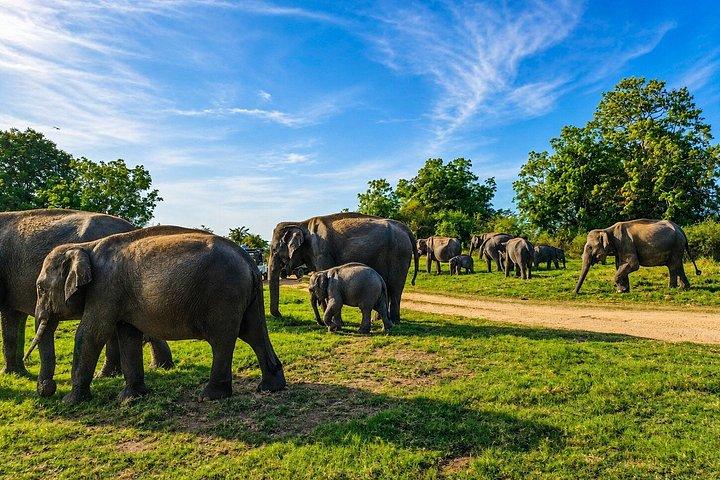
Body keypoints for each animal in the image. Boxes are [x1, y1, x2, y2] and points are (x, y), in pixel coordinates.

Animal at [0, 209, 173, 391]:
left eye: (41, 288)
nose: (48, 386)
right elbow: (13, 317)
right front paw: (16, 373)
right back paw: (159, 367)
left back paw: (107, 375)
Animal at [27, 225, 286, 404]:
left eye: (40, 288)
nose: (46, 390)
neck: (86, 247)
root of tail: (249, 261)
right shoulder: (116, 295)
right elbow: (127, 335)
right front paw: (130, 398)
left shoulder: (104, 289)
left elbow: (91, 333)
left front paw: (70, 401)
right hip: (246, 296)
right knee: (254, 333)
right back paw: (271, 387)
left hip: (223, 295)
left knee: (223, 340)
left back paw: (211, 396)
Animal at [268, 213, 418, 325]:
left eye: (274, 250)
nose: (280, 315)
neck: (300, 223)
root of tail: (405, 229)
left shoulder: (322, 251)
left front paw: (334, 322)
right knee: (387, 285)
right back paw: (378, 319)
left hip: (399, 253)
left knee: (395, 287)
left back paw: (394, 321)